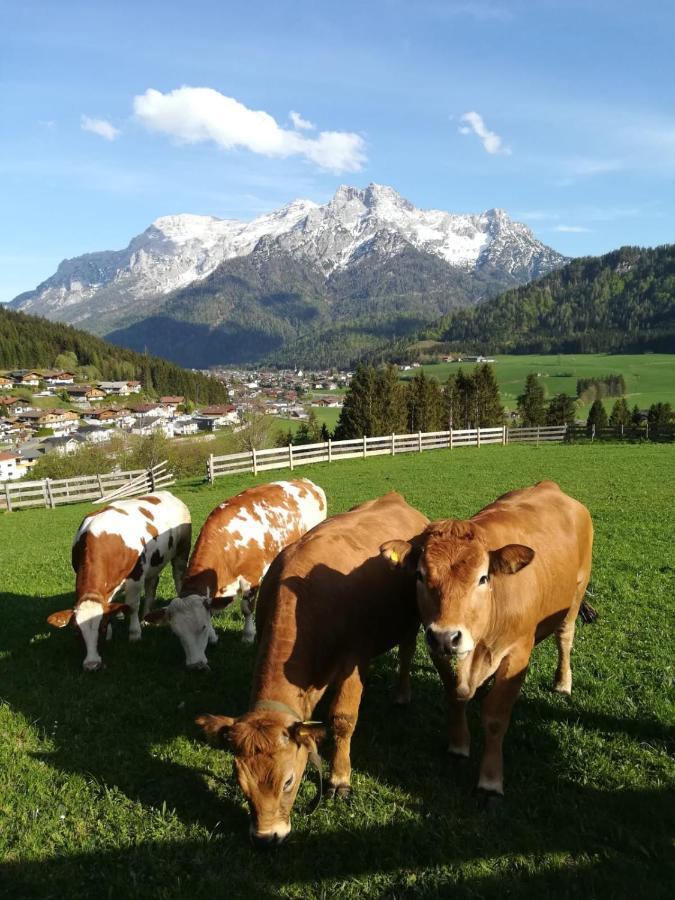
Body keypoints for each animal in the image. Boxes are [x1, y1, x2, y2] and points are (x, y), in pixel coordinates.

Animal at [47, 488, 191, 672]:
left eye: (100, 629)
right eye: (76, 631)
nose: (92, 664)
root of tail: (166, 493)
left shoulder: (136, 574)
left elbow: (132, 605)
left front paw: (134, 633)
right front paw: (111, 632)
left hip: (181, 550)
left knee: (178, 577)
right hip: (154, 563)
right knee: (151, 586)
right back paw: (146, 618)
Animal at [145, 478, 328, 668]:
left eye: (202, 627)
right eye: (177, 633)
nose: (196, 665)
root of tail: (305, 481)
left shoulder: (252, 578)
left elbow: (247, 609)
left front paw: (248, 636)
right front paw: (213, 637)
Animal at [195, 492, 428, 852]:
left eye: (289, 781)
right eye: (241, 784)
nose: (266, 837)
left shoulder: (353, 660)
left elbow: (343, 720)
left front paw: (339, 778)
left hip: (411, 618)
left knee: (406, 651)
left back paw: (402, 694)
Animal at [380, 482, 596, 800]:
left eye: (483, 578)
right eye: (419, 574)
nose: (446, 635)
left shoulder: (517, 654)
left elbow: (495, 716)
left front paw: (491, 780)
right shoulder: (439, 649)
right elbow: (455, 694)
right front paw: (458, 744)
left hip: (575, 596)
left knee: (565, 638)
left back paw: (562, 682)